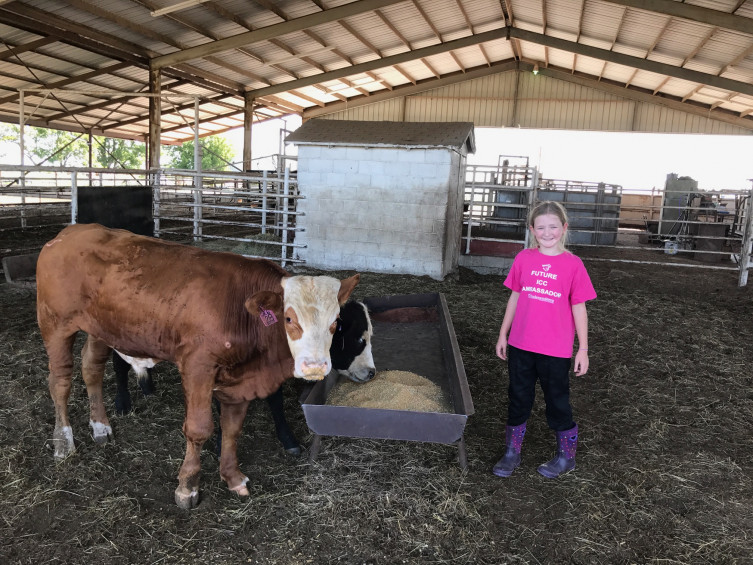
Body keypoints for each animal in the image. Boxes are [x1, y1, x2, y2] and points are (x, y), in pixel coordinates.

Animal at [111, 300, 374, 454]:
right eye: (359, 338)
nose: (372, 372)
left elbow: (275, 401)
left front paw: (288, 440)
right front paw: (220, 442)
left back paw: (147, 386)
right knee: (118, 364)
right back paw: (122, 403)